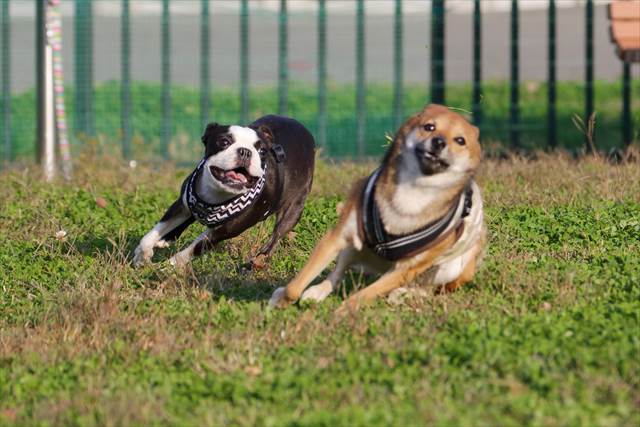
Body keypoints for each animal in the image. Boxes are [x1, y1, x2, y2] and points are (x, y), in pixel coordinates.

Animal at [134, 115, 316, 270]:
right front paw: (142, 256)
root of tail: (301, 127)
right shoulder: (181, 205)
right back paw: (166, 239)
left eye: (262, 151)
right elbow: (151, 234)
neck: (218, 192)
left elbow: (194, 248)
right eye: (224, 142)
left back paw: (257, 261)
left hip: (293, 210)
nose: (245, 151)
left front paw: (167, 267)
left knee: (276, 236)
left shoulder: (223, 232)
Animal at [268, 103, 484, 310]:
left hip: (453, 268)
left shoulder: (405, 269)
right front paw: (282, 299)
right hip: (354, 248)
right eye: (429, 127)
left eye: (460, 140)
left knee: (428, 288)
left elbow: (362, 296)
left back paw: (404, 295)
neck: (413, 191)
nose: (439, 142)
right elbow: (297, 285)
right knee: (338, 271)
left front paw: (343, 313)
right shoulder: (339, 235)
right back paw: (316, 292)